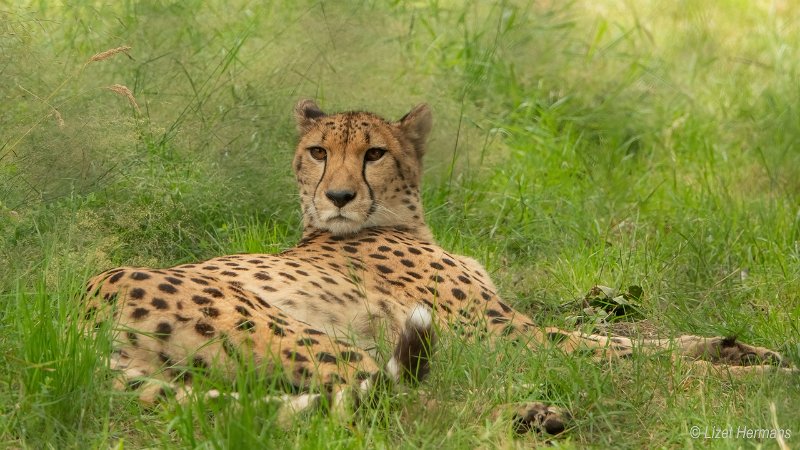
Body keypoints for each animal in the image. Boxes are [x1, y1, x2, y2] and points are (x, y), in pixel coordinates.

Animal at [84, 99, 796, 436]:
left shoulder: (511, 328)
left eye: (374, 153)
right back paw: (534, 416)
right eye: (317, 152)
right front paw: (748, 382)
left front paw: (743, 350)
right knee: (413, 403)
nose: (338, 196)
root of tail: (81, 310)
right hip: (305, 337)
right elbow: (619, 355)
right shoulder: (503, 334)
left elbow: (635, 342)